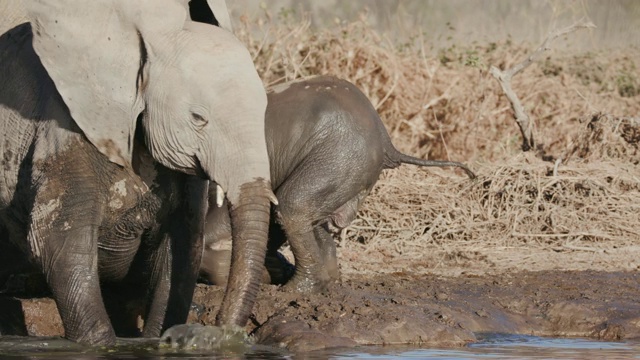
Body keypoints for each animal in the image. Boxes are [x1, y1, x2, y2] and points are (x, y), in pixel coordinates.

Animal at [0, 0, 272, 344]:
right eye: (198, 118)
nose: (222, 330)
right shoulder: (62, 125)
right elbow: (59, 244)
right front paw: (102, 345)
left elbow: (182, 247)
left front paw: (158, 339)